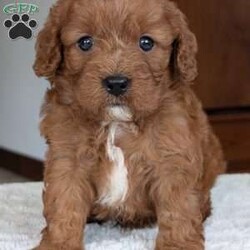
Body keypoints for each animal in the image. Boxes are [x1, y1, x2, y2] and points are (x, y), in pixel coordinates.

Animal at [33, 0, 227, 249]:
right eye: (85, 42)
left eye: (146, 42)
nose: (116, 83)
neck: (117, 122)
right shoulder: (67, 158)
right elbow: (64, 203)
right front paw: (58, 244)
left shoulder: (173, 157)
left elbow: (178, 207)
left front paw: (178, 244)